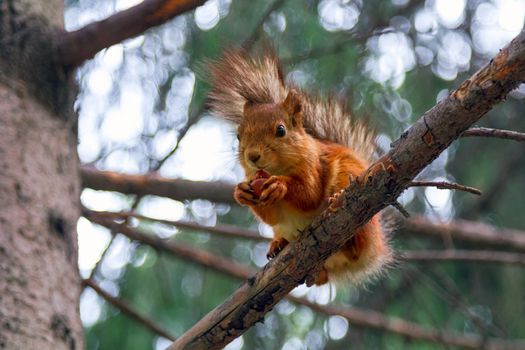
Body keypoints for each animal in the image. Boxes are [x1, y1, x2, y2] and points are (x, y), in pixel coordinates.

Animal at [207, 50, 390, 284]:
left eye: (281, 130)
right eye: (238, 136)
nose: (252, 156)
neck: (277, 169)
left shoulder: (314, 166)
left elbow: (309, 194)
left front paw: (280, 186)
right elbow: (271, 215)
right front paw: (241, 192)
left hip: (350, 183)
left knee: (356, 245)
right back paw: (280, 245)